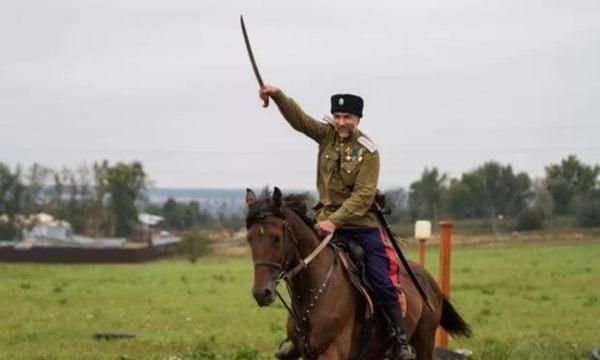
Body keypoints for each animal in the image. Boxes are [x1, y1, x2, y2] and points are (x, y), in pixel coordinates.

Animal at [246, 188, 472, 360]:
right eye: (249, 239)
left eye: (276, 238)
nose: (261, 293)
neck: (313, 292)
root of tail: (429, 280)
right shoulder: (308, 353)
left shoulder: (332, 353)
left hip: (424, 343)